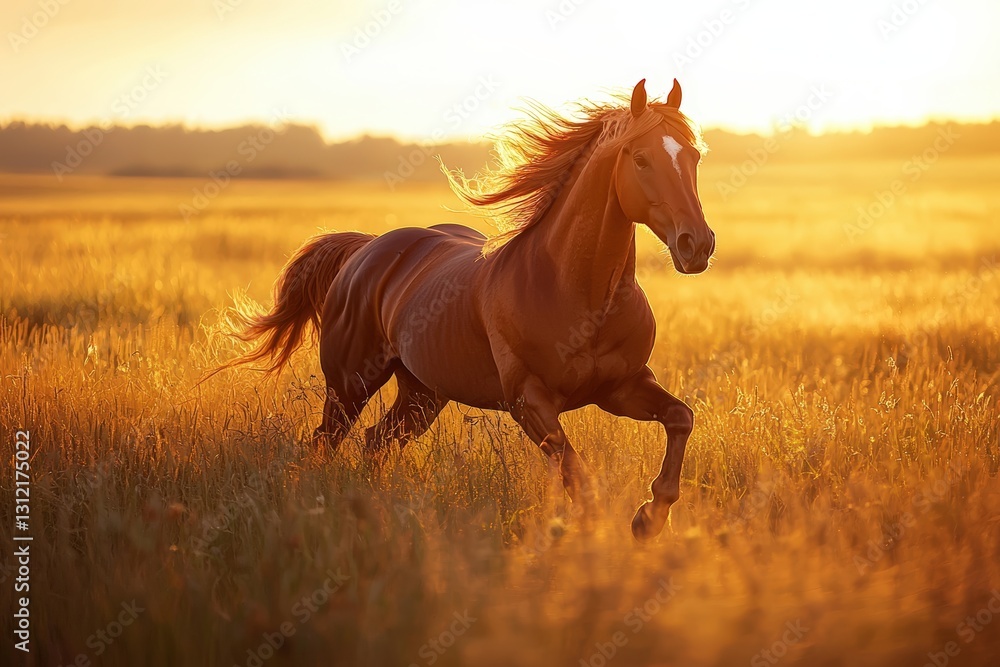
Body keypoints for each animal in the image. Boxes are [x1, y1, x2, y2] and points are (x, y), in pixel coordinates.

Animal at [229, 79, 715, 541]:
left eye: (694, 156)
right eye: (641, 159)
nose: (696, 245)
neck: (579, 294)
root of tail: (366, 249)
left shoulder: (621, 388)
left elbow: (681, 418)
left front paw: (650, 518)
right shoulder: (529, 402)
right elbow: (581, 479)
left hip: (422, 394)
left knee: (376, 441)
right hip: (350, 385)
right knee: (325, 443)